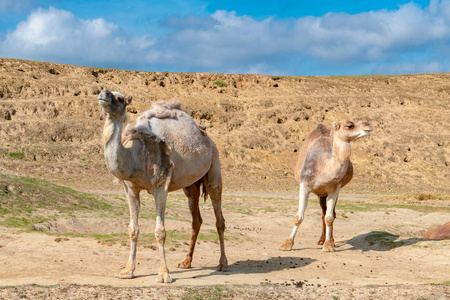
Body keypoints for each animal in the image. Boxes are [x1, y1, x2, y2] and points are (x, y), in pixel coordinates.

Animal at [97, 89, 227, 284]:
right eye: (106, 91)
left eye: (119, 98)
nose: (103, 94)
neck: (134, 156)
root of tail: (208, 139)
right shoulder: (131, 189)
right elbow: (133, 229)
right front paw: (127, 270)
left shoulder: (160, 186)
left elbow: (160, 231)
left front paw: (164, 274)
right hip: (190, 185)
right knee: (196, 219)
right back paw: (186, 262)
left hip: (214, 165)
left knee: (219, 216)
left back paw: (222, 263)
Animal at [282, 120, 372, 252]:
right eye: (350, 125)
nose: (367, 125)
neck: (323, 168)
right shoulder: (304, 185)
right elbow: (298, 217)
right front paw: (287, 244)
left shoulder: (335, 188)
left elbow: (330, 217)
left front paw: (329, 245)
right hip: (320, 194)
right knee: (323, 212)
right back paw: (321, 240)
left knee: (330, 213)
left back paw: (330, 241)